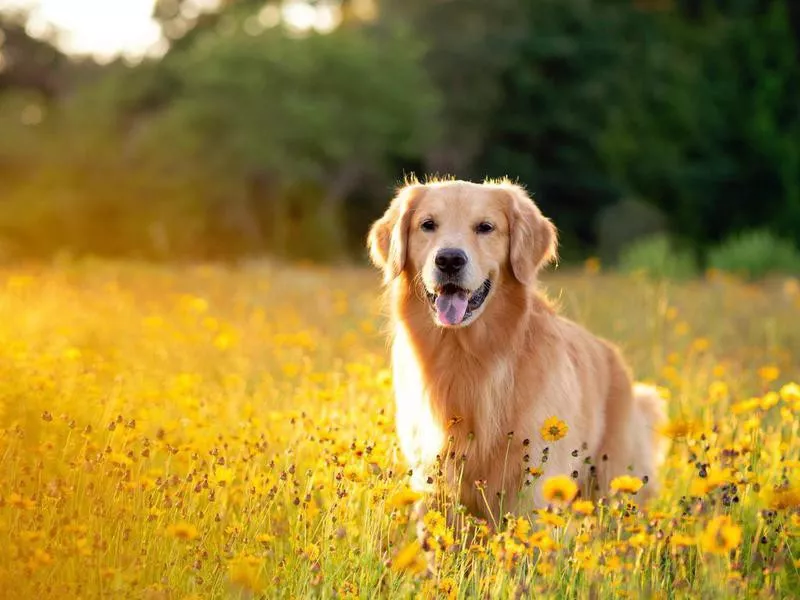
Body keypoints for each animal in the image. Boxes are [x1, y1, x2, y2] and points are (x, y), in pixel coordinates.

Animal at [368, 178, 664, 524]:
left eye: (485, 227)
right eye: (427, 224)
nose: (450, 260)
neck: (467, 356)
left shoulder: (535, 482)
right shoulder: (433, 479)